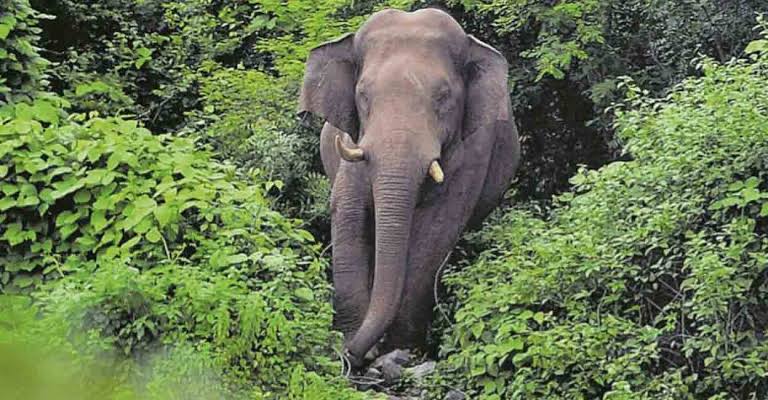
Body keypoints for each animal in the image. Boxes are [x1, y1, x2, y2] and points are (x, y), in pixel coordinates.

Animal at [296, 8, 520, 366]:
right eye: (363, 95)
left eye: (444, 97)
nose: (353, 357)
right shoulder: (352, 140)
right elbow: (348, 212)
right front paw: (352, 340)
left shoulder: (475, 149)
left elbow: (438, 227)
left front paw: (398, 351)